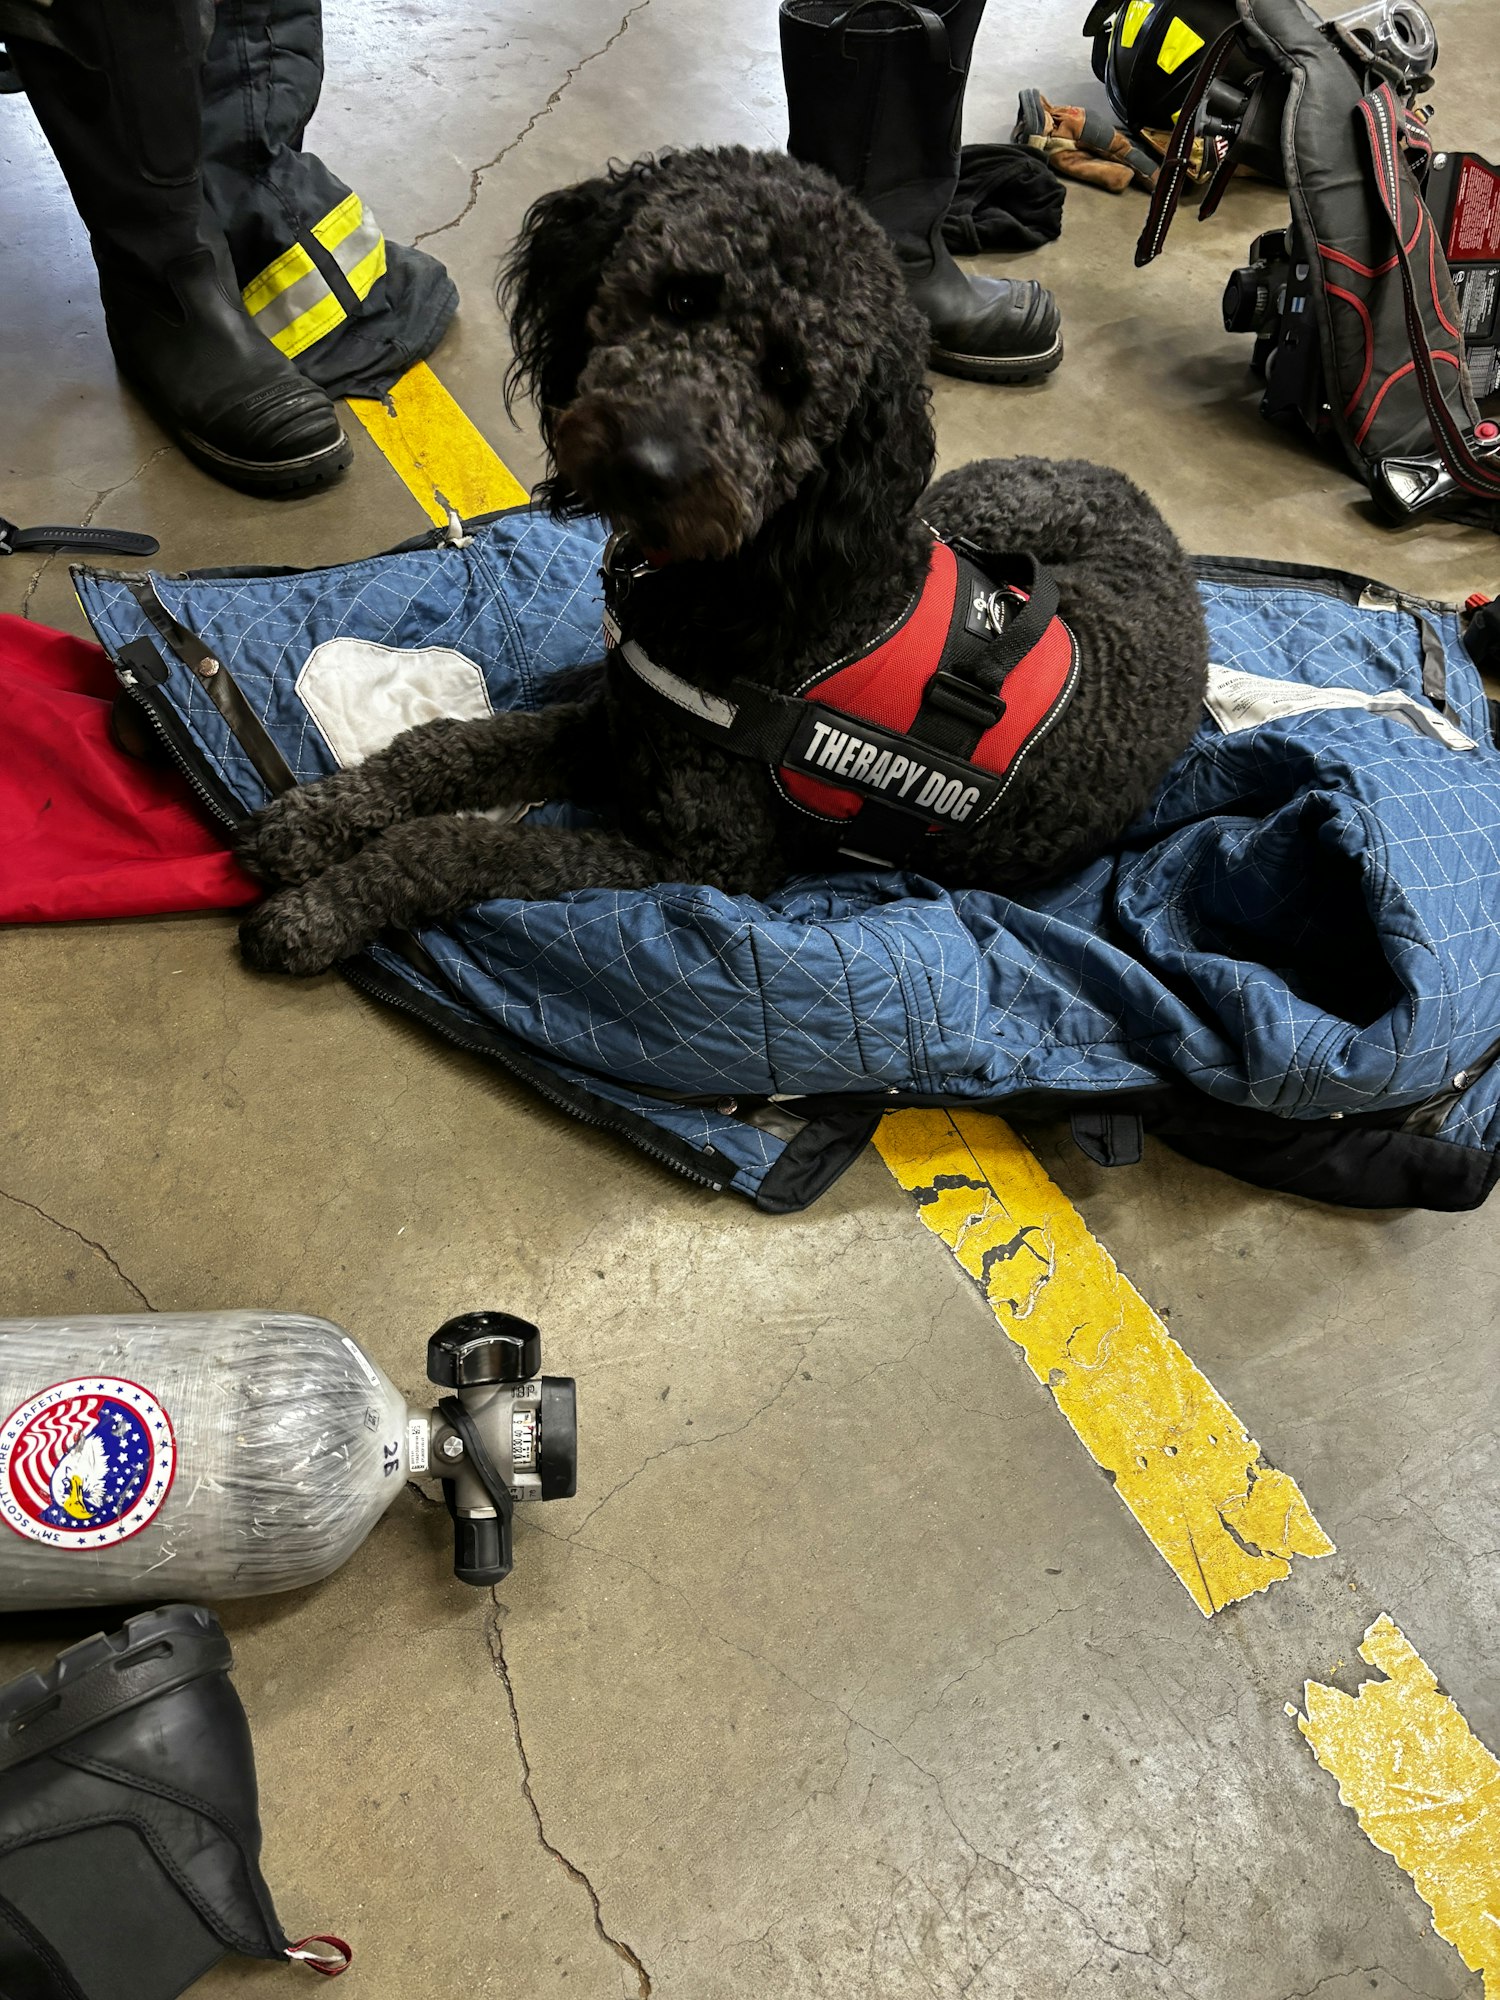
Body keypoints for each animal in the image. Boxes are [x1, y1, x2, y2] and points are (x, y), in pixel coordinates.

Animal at [241, 148, 1216, 976]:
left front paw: (331, 905)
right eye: (681, 299)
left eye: (791, 378)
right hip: (972, 501)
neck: (753, 578)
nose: (650, 464)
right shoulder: (622, 729)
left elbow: (467, 843)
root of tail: (1148, 511)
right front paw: (323, 817)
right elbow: (448, 746)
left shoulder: (697, 855)